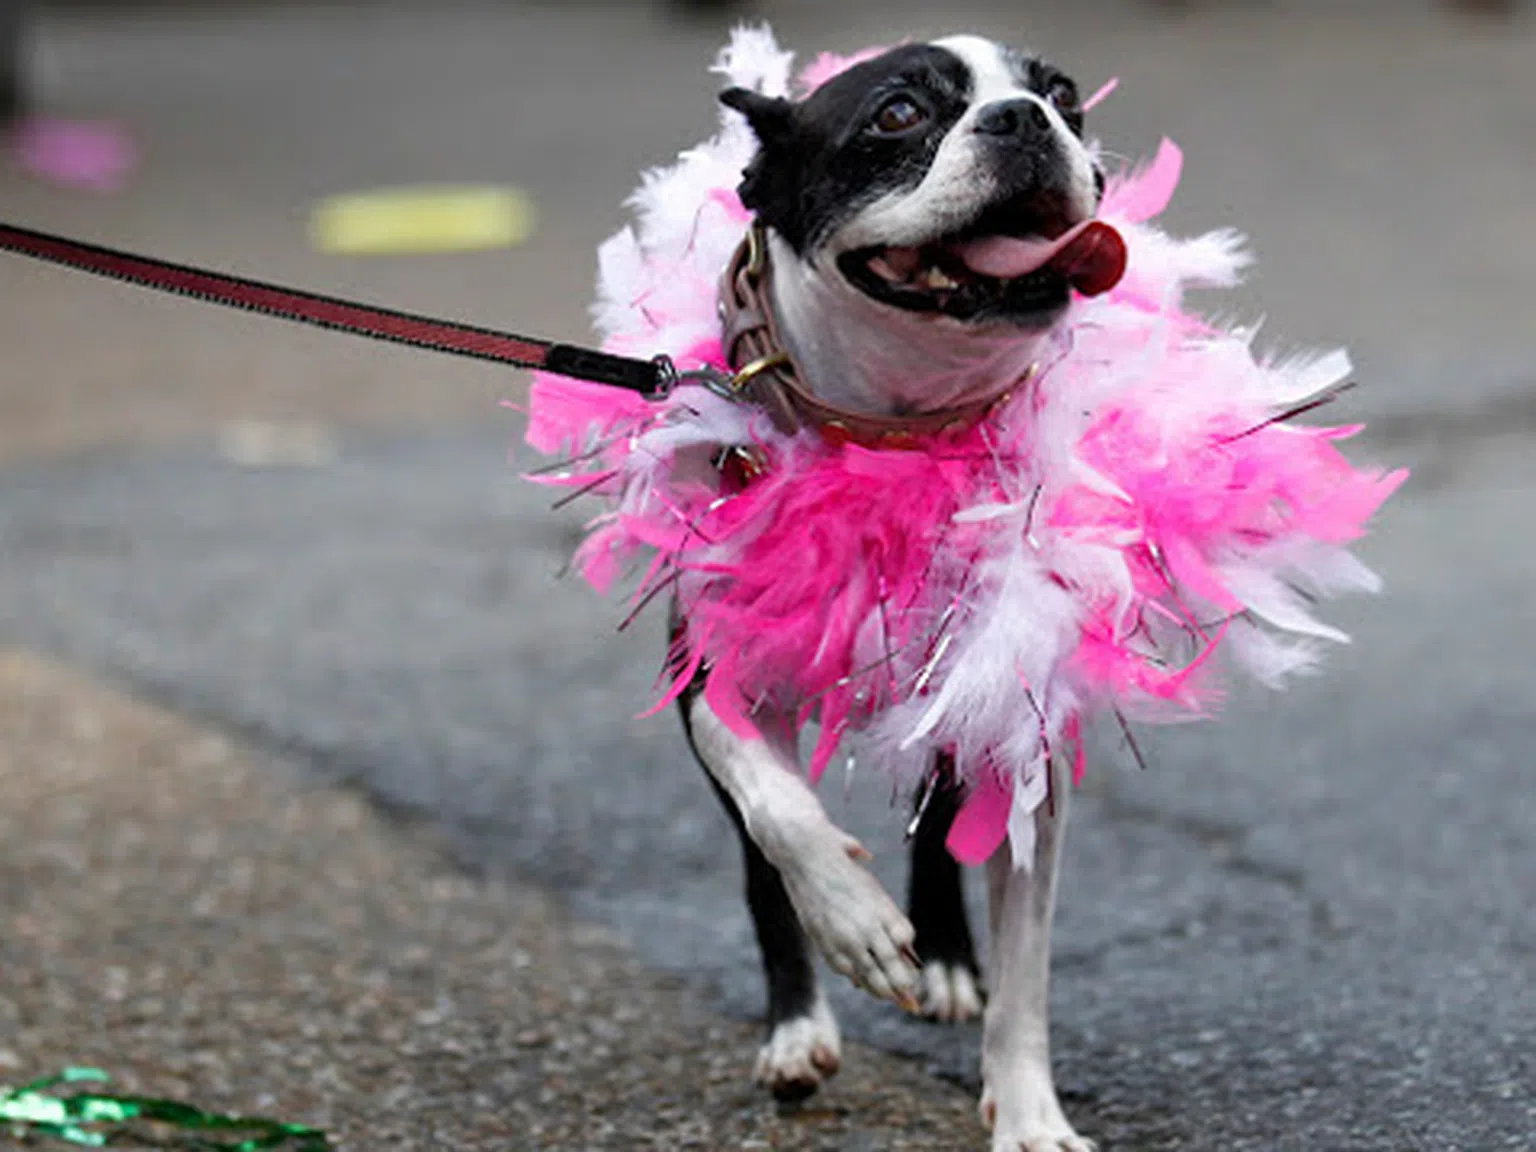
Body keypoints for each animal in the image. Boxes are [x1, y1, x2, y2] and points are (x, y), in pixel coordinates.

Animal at [678, 33, 1112, 1152]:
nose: (1022, 119)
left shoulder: (1019, 718)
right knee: (760, 862)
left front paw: (1031, 1112)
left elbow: (1026, 967)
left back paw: (949, 957)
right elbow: (780, 816)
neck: (903, 425)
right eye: (899, 115)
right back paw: (798, 1027)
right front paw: (857, 921)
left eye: (1065, 98)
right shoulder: (709, 678)